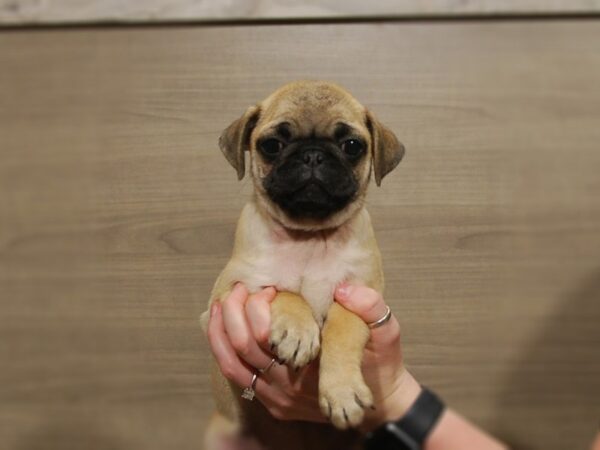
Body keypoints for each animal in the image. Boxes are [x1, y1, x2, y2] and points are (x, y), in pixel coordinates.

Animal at [202, 81, 404, 450]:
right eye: (271, 145)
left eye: (352, 146)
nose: (312, 155)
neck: (309, 237)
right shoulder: (227, 294)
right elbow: (284, 291)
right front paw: (297, 332)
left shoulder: (361, 292)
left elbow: (343, 323)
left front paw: (342, 391)